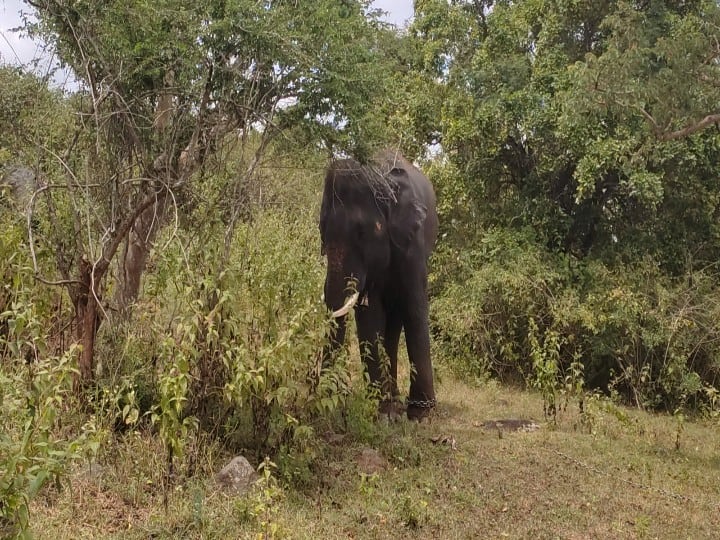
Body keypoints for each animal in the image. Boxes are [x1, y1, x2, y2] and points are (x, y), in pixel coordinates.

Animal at [320, 149, 438, 422]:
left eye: (362, 233)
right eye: (322, 231)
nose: (332, 401)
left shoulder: (413, 243)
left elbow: (415, 307)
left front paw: (421, 416)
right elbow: (370, 315)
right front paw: (383, 415)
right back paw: (392, 401)